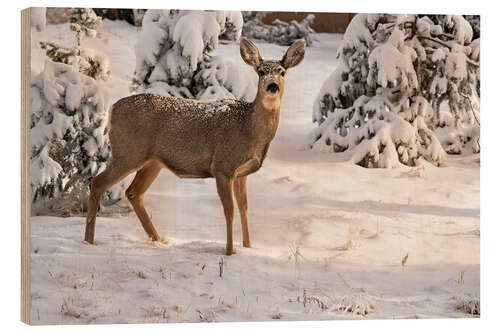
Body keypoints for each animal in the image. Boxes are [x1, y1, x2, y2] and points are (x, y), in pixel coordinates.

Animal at [84, 37, 306, 254]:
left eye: (282, 72)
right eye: (260, 72)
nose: (272, 86)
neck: (249, 130)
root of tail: (112, 109)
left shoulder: (242, 173)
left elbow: (244, 208)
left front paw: (249, 246)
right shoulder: (222, 166)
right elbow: (229, 210)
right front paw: (229, 251)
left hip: (153, 161)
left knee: (133, 192)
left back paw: (159, 240)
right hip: (128, 152)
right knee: (97, 182)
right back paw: (89, 241)